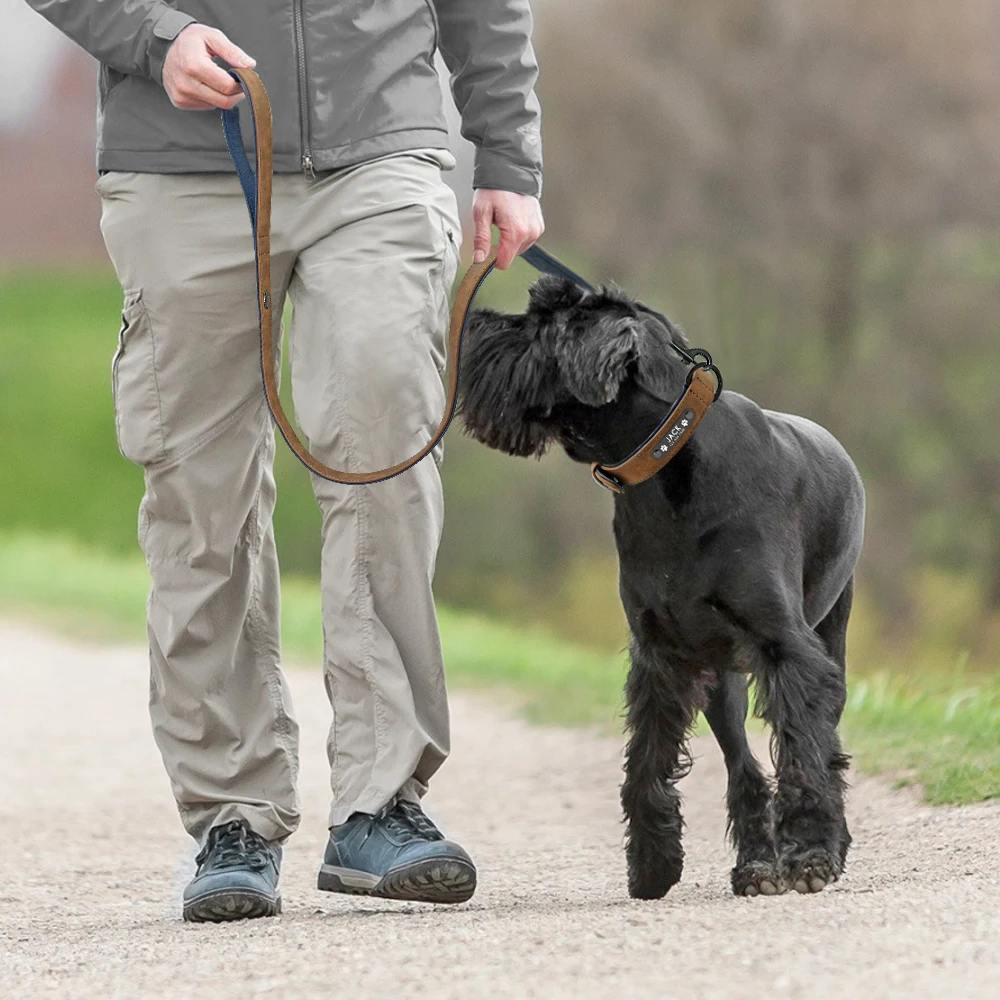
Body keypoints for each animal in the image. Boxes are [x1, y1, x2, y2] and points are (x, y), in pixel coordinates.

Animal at [458, 276, 864, 900]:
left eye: (542, 322)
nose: (470, 322)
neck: (667, 464)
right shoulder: (661, 655)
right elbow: (646, 762)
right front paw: (652, 863)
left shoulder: (787, 649)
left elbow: (804, 753)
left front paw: (813, 853)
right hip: (720, 679)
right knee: (744, 770)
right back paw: (756, 865)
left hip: (829, 638)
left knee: (825, 747)